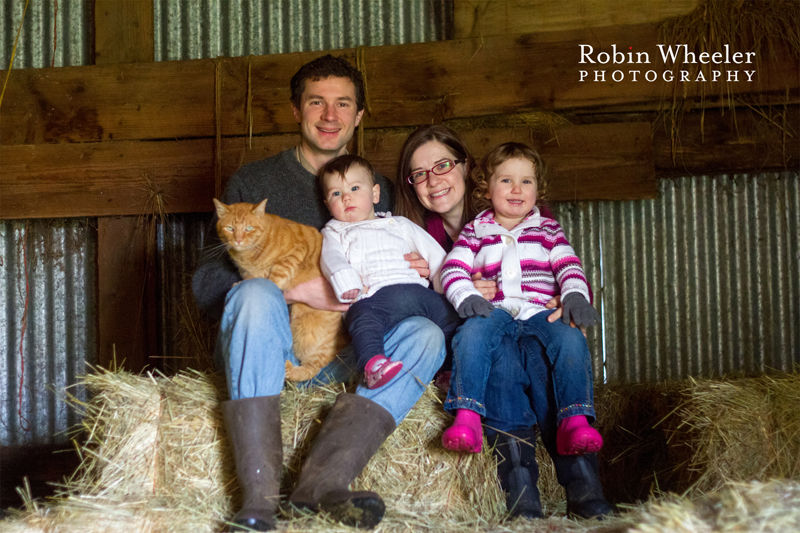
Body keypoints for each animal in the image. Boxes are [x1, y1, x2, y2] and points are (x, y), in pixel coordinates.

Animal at [214, 197, 348, 380]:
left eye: (248, 228)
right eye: (230, 228)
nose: (238, 240)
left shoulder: (294, 253)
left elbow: (274, 277)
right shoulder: (248, 271)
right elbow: (252, 277)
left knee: (312, 368)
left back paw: (290, 369)